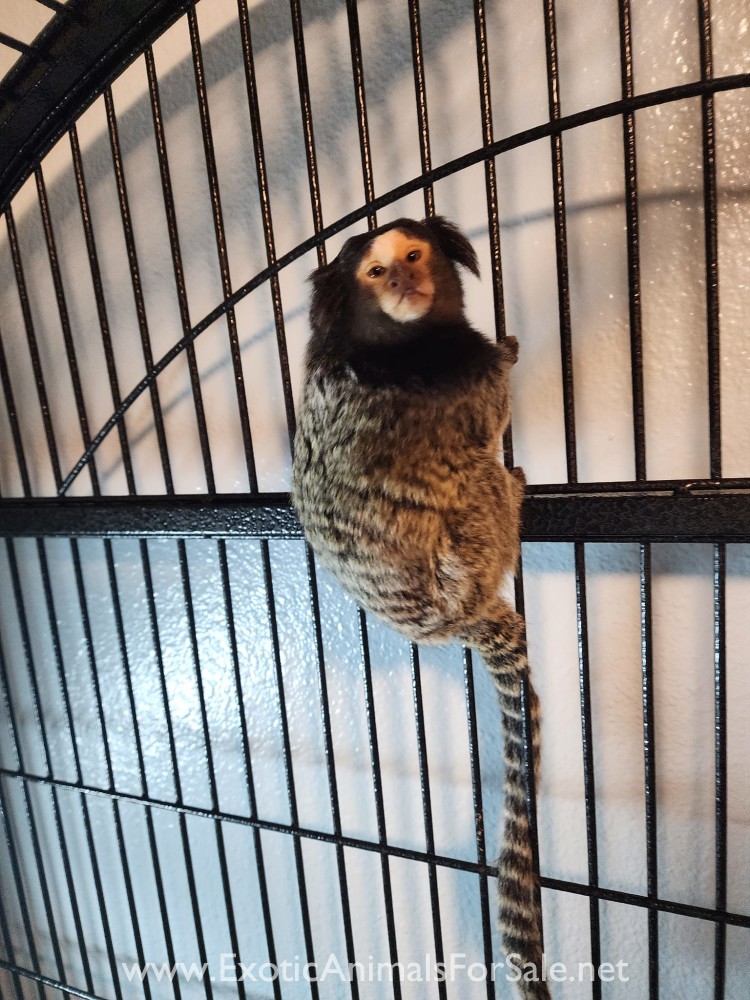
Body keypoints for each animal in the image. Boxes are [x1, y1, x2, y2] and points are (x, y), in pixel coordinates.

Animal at [291, 216, 549, 1000]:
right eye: (375, 273)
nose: (405, 281)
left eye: (412, 255)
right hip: (469, 549)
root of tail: (453, 619)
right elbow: (489, 409)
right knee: (480, 475)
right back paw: (513, 491)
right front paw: (512, 353)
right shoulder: (463, 381)